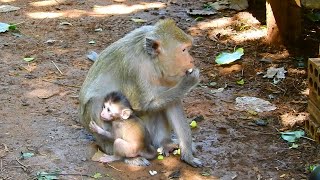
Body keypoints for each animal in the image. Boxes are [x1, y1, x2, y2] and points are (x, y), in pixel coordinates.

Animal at [80, 19, 202, 167]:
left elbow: (173, 103)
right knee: (95, 102)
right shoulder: (133, 68)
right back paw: (124, 156)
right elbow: (141, 106)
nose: (191, 60)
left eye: (188, 49)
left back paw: (165, 143)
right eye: (184, 50)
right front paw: (189, 82)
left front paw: (187, 154)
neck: (151, 62)